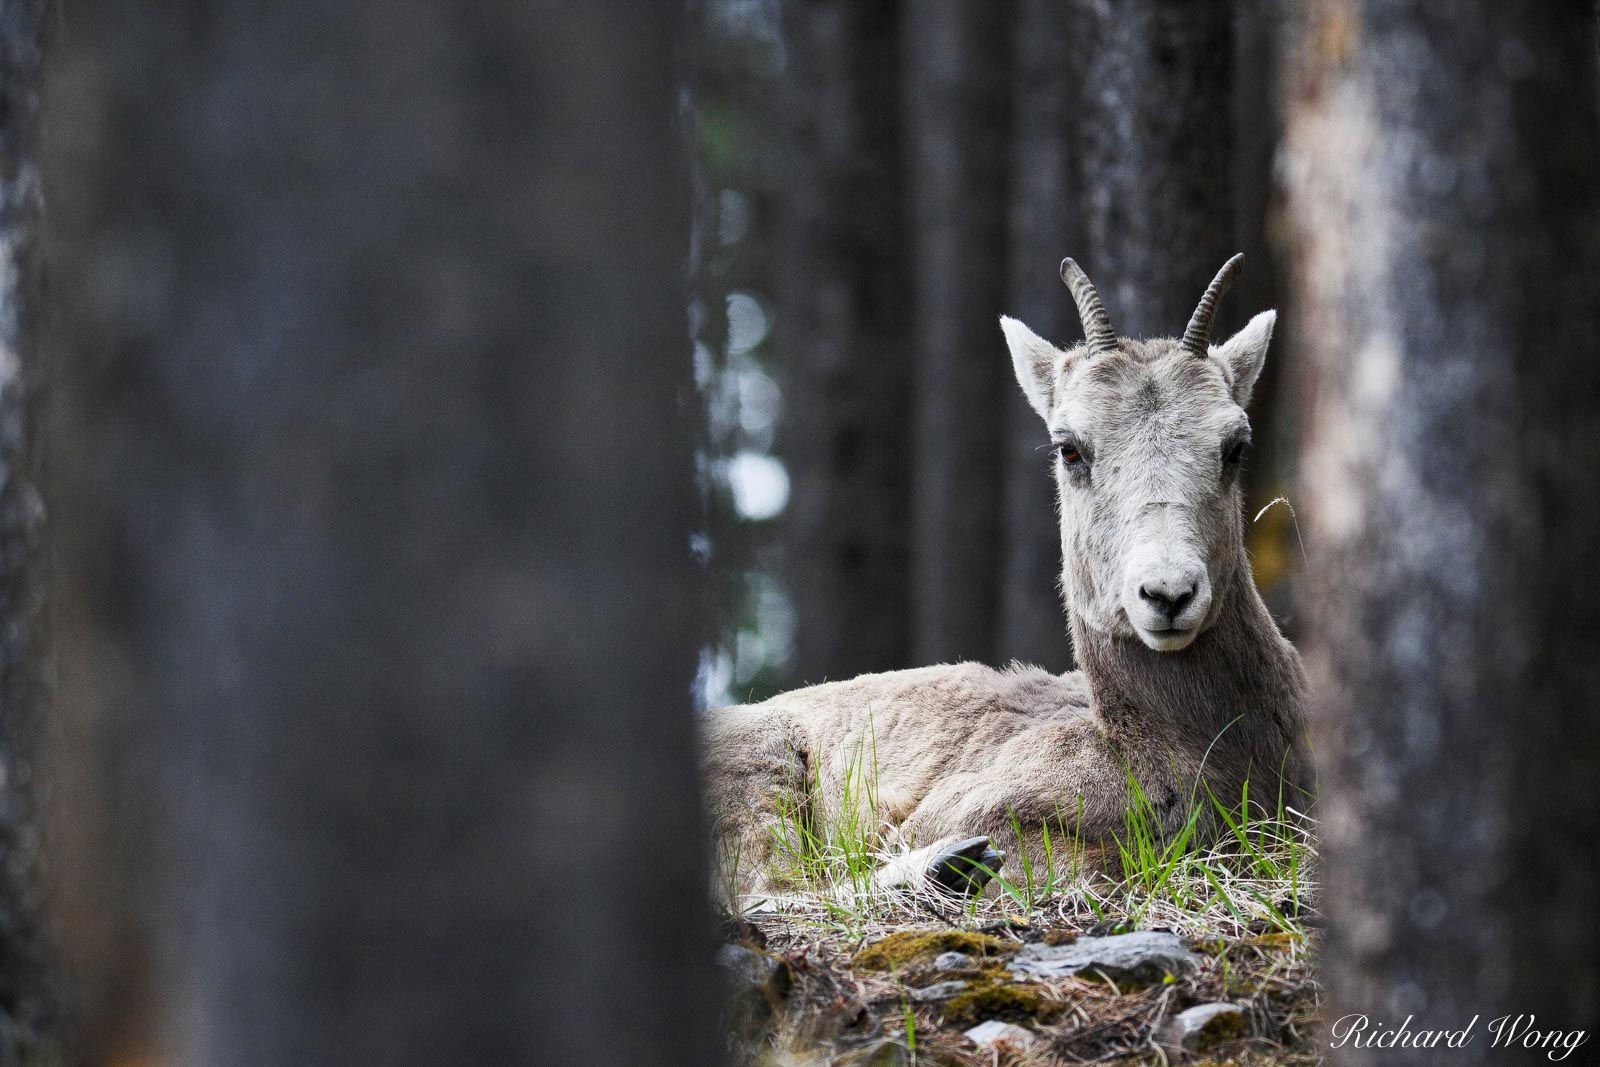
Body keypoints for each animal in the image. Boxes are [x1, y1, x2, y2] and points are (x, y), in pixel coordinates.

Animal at [707, 259, 1305, 902]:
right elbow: (1089, 867)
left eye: (1235, 446)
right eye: (1069, 448)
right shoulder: (953, 811)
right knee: (766, 889)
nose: (1168, 593)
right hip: (763, 775)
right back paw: (949, 865)